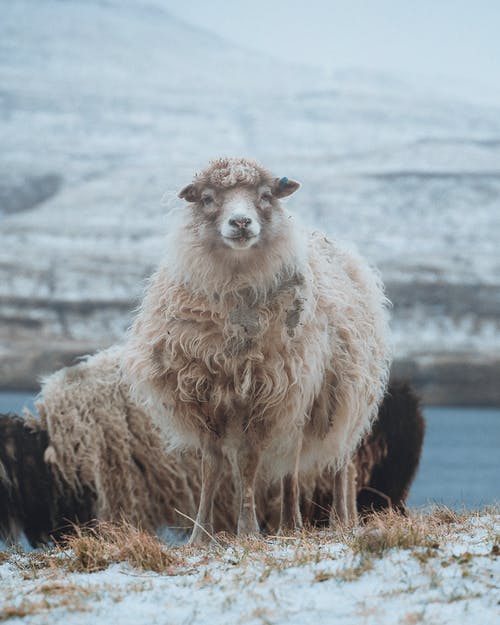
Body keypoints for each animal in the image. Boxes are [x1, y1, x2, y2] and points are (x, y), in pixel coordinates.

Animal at [123, 158, 392, 544]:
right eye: (207, 198)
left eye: (265, 196)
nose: (240, 222)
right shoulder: (207, 399)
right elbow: (212, 467)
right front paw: (200, 534)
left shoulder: (264, 399)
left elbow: (248, 464)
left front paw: (248, 531)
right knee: (291, 466)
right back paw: (290, 523)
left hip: (336, 397)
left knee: (339, 462)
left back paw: (337, 521)